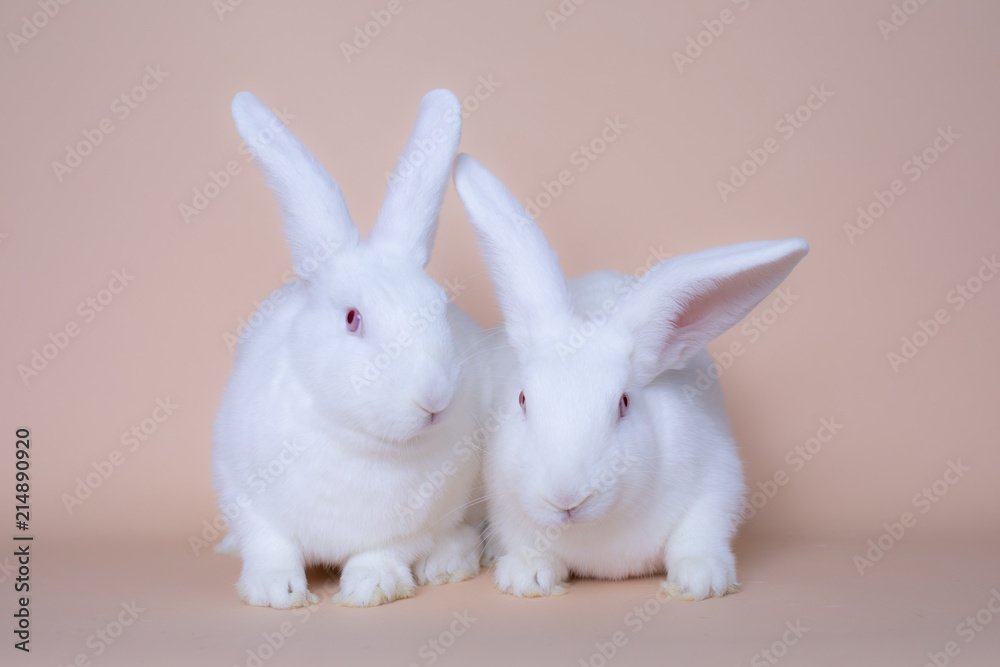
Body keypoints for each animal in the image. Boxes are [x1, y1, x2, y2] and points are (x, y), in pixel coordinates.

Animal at [213, 90, 494, 612]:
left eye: (439, 307)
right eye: (352, 319)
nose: (434, 396)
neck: (359, 441)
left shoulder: (413, 523)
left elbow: (381, 552)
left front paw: (372, 587)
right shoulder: (244, 492)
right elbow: (270, 544)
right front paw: (274, 591)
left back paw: (448, 563)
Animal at [456, 155, 812, 600]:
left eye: (623, 404)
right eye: (522, 401)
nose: (566, 497)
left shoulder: (718, 481)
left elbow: (698, 533)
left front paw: (701, 579)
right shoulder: (505, 502)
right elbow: (524, 540)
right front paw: (527, 575)